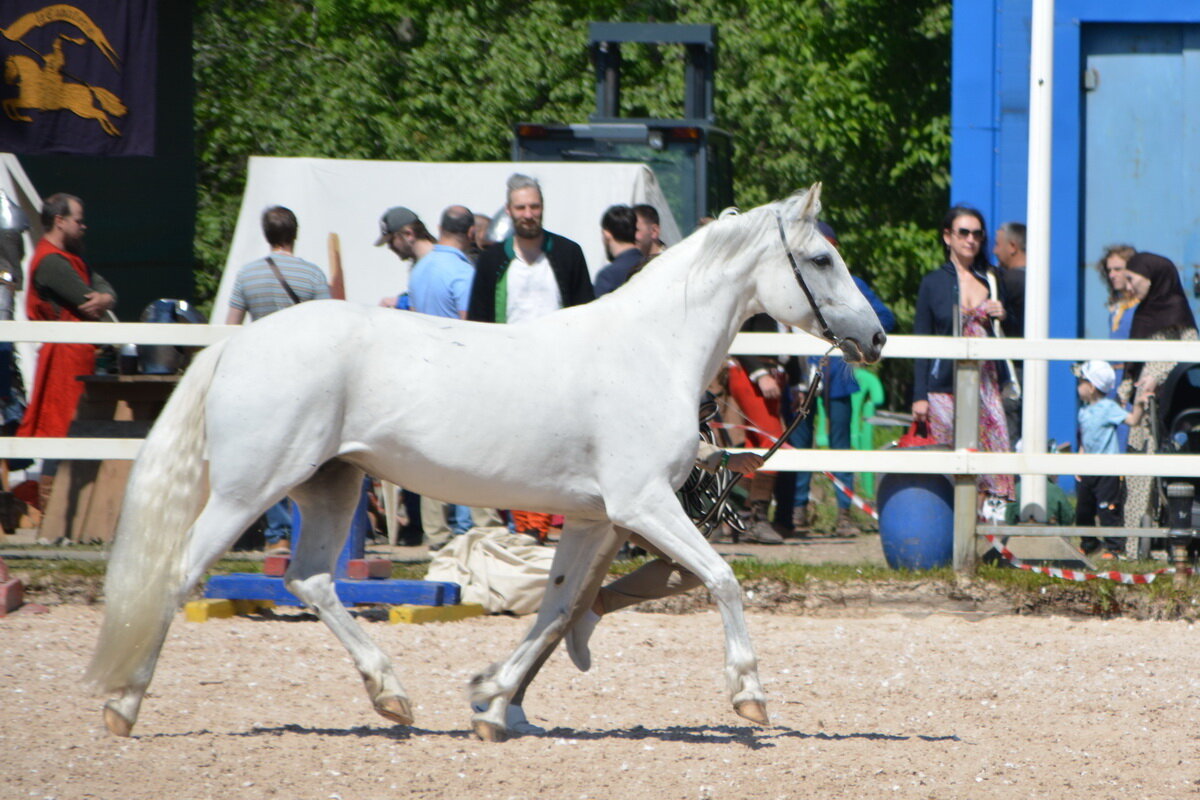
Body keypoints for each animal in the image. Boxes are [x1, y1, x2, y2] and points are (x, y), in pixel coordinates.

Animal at [87, 184, 883, 743]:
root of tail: (238, 344)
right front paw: (750, 695)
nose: (875, 336)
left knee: (310, 579)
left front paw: (494, 703)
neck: (651, 349)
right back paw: (124, 705)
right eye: (821, 259)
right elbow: (720, 579)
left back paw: (391, 694)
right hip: (249, 490)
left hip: (331, 486)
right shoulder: (644, 504)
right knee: (182, 574)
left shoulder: (596, 521)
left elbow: (558, 610)